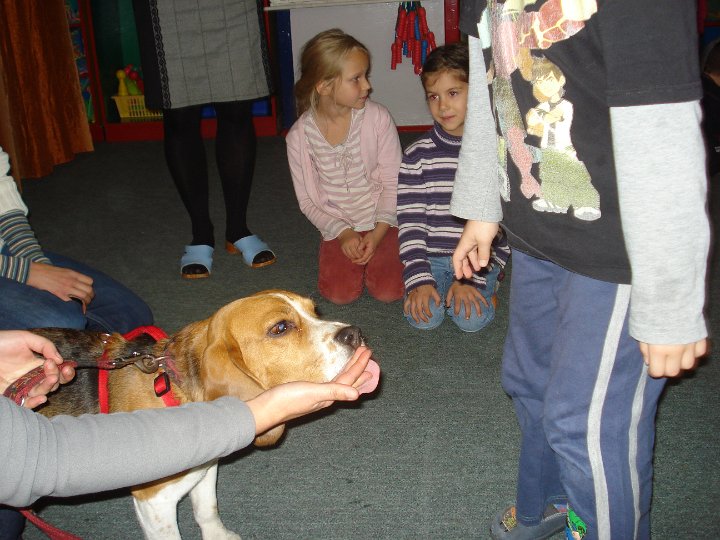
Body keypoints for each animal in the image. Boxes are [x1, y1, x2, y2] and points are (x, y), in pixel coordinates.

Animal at [32, 289, 380, 539]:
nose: (355, 333)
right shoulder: (153, 501)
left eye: (314, 311)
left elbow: (207, 509)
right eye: (281, 328)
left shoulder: (206, 467)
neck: (176, 389)